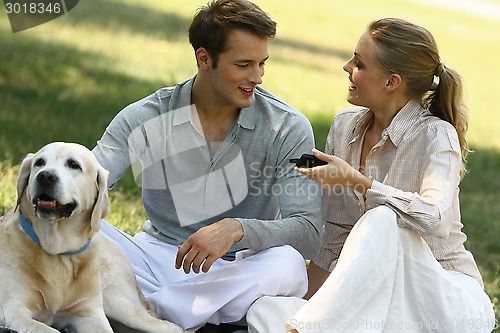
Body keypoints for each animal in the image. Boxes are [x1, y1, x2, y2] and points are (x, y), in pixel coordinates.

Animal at [0, 142, 186, 332]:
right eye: (39, 163)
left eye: (73, 164)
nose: (45, 176)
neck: (58, 253)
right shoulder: (14, 310)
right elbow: (49, 329)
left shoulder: (90, 314)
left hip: (118, 303)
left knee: (171, 327)